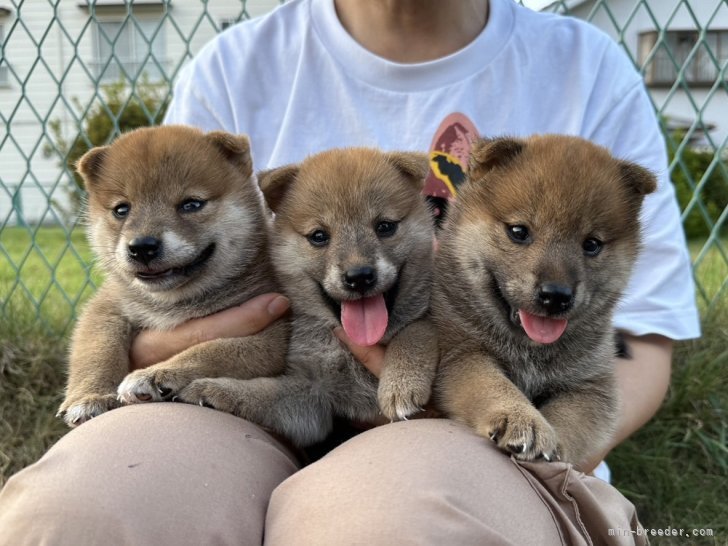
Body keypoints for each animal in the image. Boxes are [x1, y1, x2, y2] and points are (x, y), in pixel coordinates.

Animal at [56, 124, 288, 424]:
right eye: (121, 209)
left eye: (191, 204)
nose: (142, 247)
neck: (171, 302)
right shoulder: (106, 307)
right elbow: (98, 348)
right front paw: (89, 396)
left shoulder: (276, 335)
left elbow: (214, 350)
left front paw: (156, 374)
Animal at [178, 146, 438, 446]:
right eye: (319, 236)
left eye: (384, 226)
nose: (359, 276)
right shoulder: (313, 397)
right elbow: (263, 392)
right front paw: (213, 390)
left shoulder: (434, 321)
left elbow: (415, 333)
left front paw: (400, 385)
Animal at [432, 133, 656, 468]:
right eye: (519, 231)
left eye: (592, 244)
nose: (556, 295)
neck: (528, 351)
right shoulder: (461, 354)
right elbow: (491, 385)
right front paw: (522, 419)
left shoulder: (591, 387)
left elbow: (572, 420)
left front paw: (555, 444)